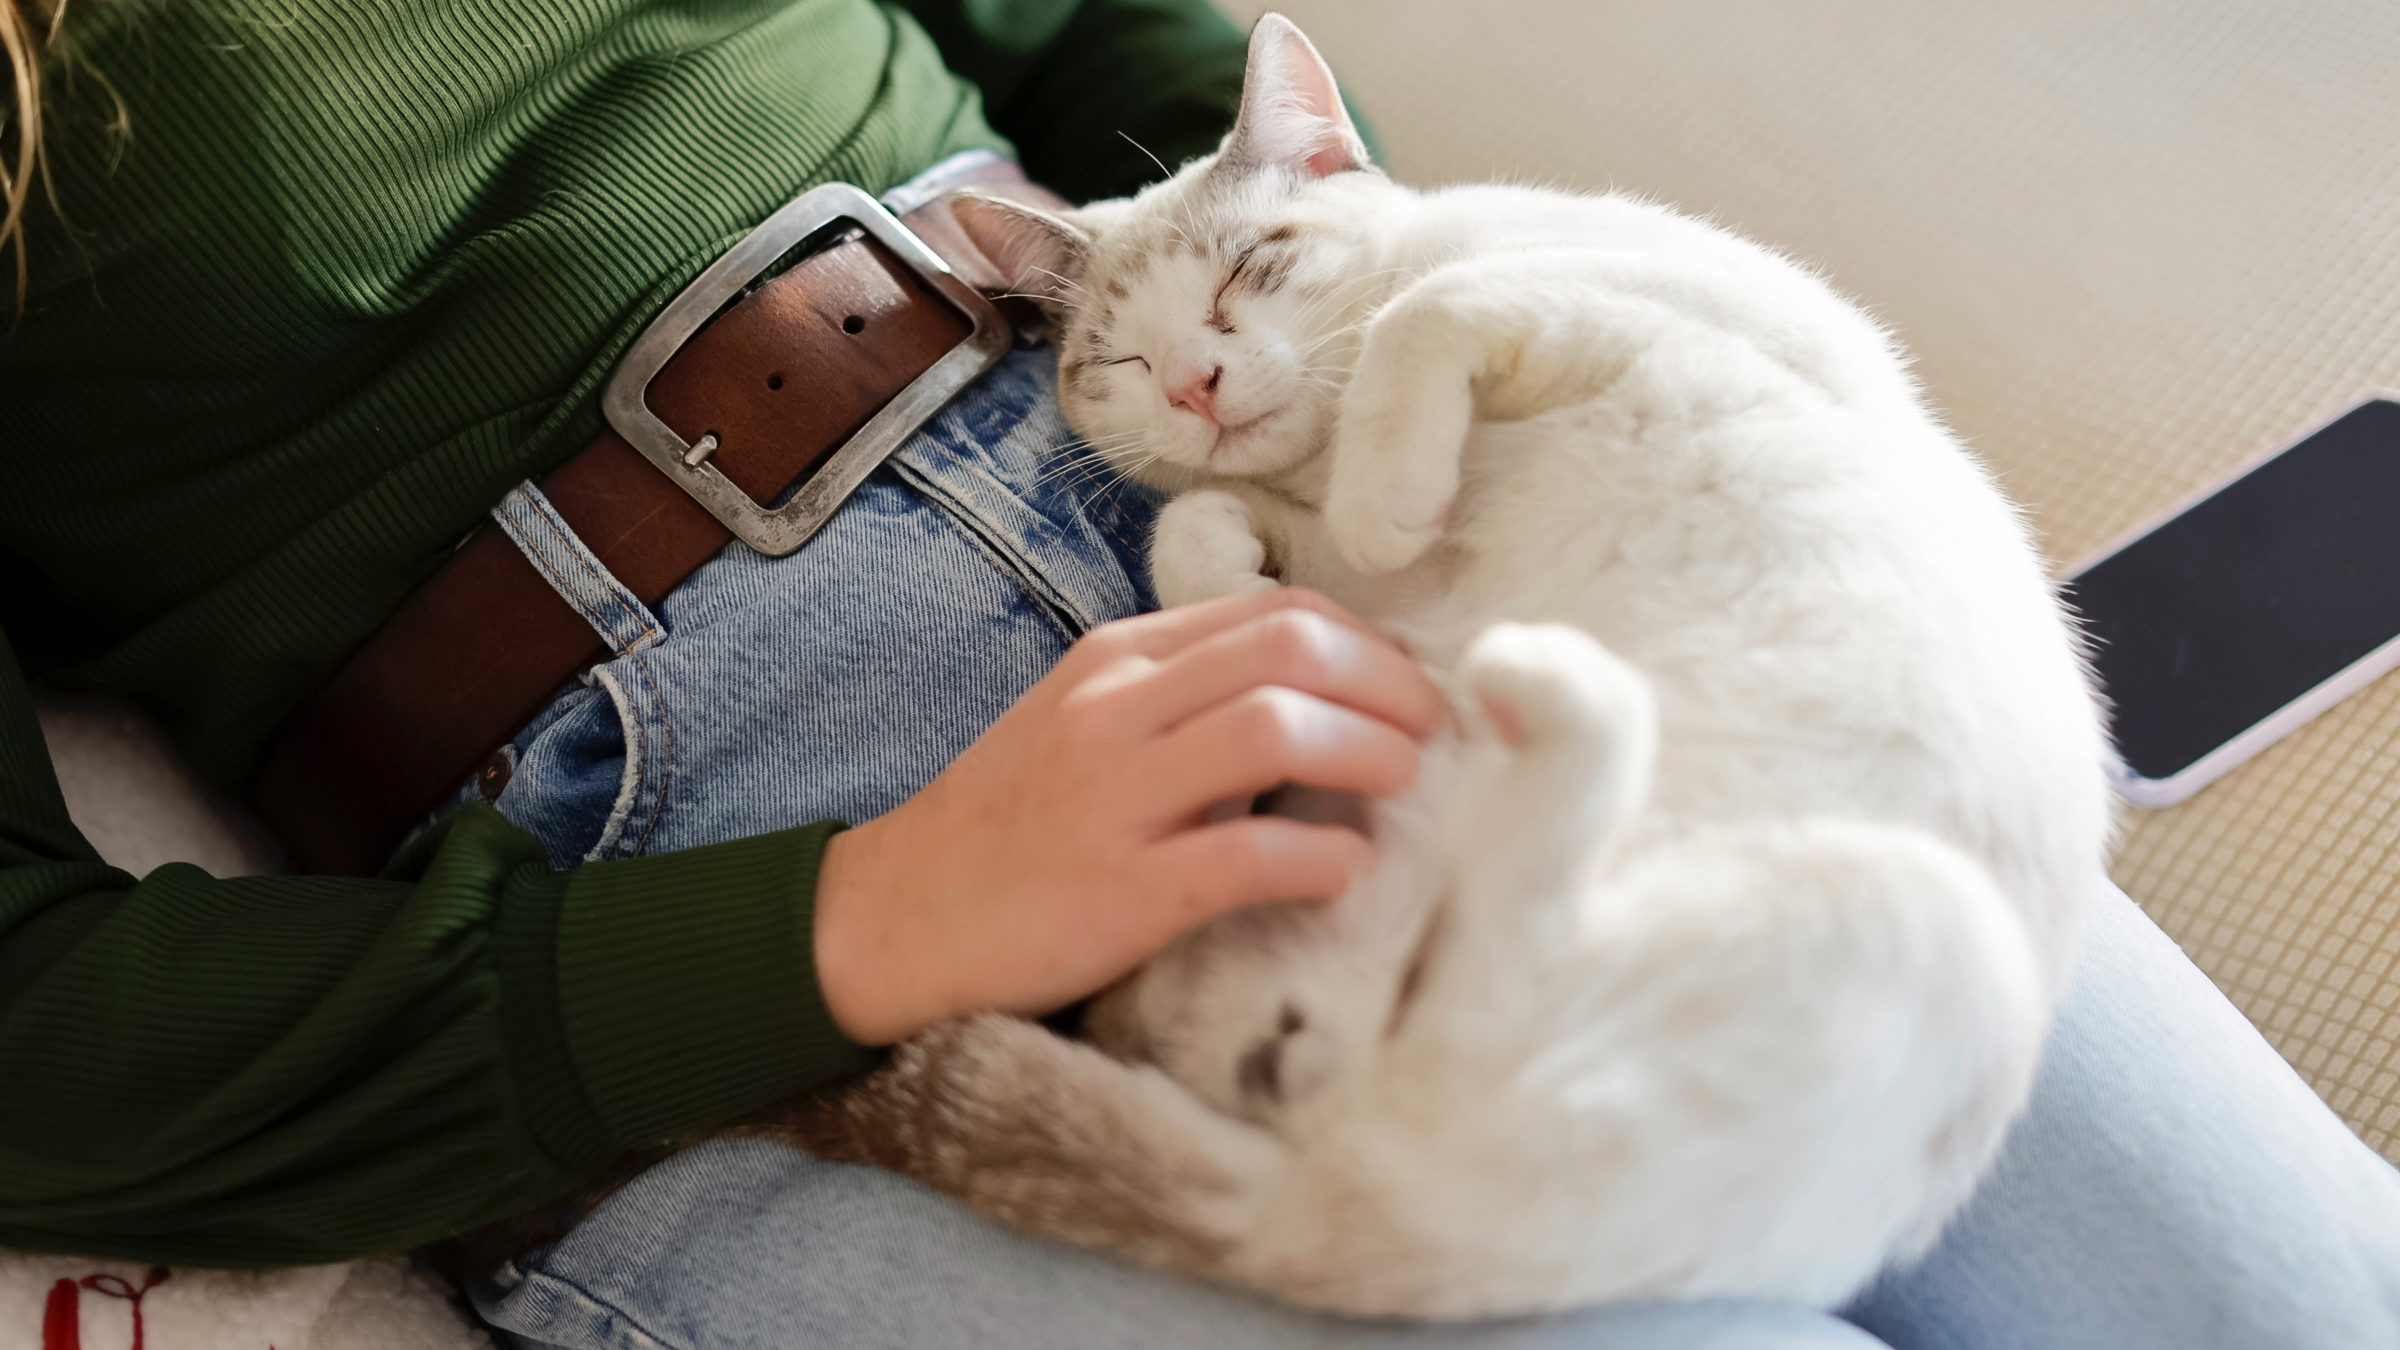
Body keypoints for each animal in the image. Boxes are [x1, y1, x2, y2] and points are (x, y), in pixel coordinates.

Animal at [777, 10, 2112, 1316]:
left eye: (1246, 271)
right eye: (1115, 362)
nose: (1194, 385)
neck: (1328, 461)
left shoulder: (1671, 309)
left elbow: (1430, 309)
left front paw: (1379, 495)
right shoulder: (1320, 545)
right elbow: (1197, 523)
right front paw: (1262, 600)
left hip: (1914, 923)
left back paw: (1543, 691)